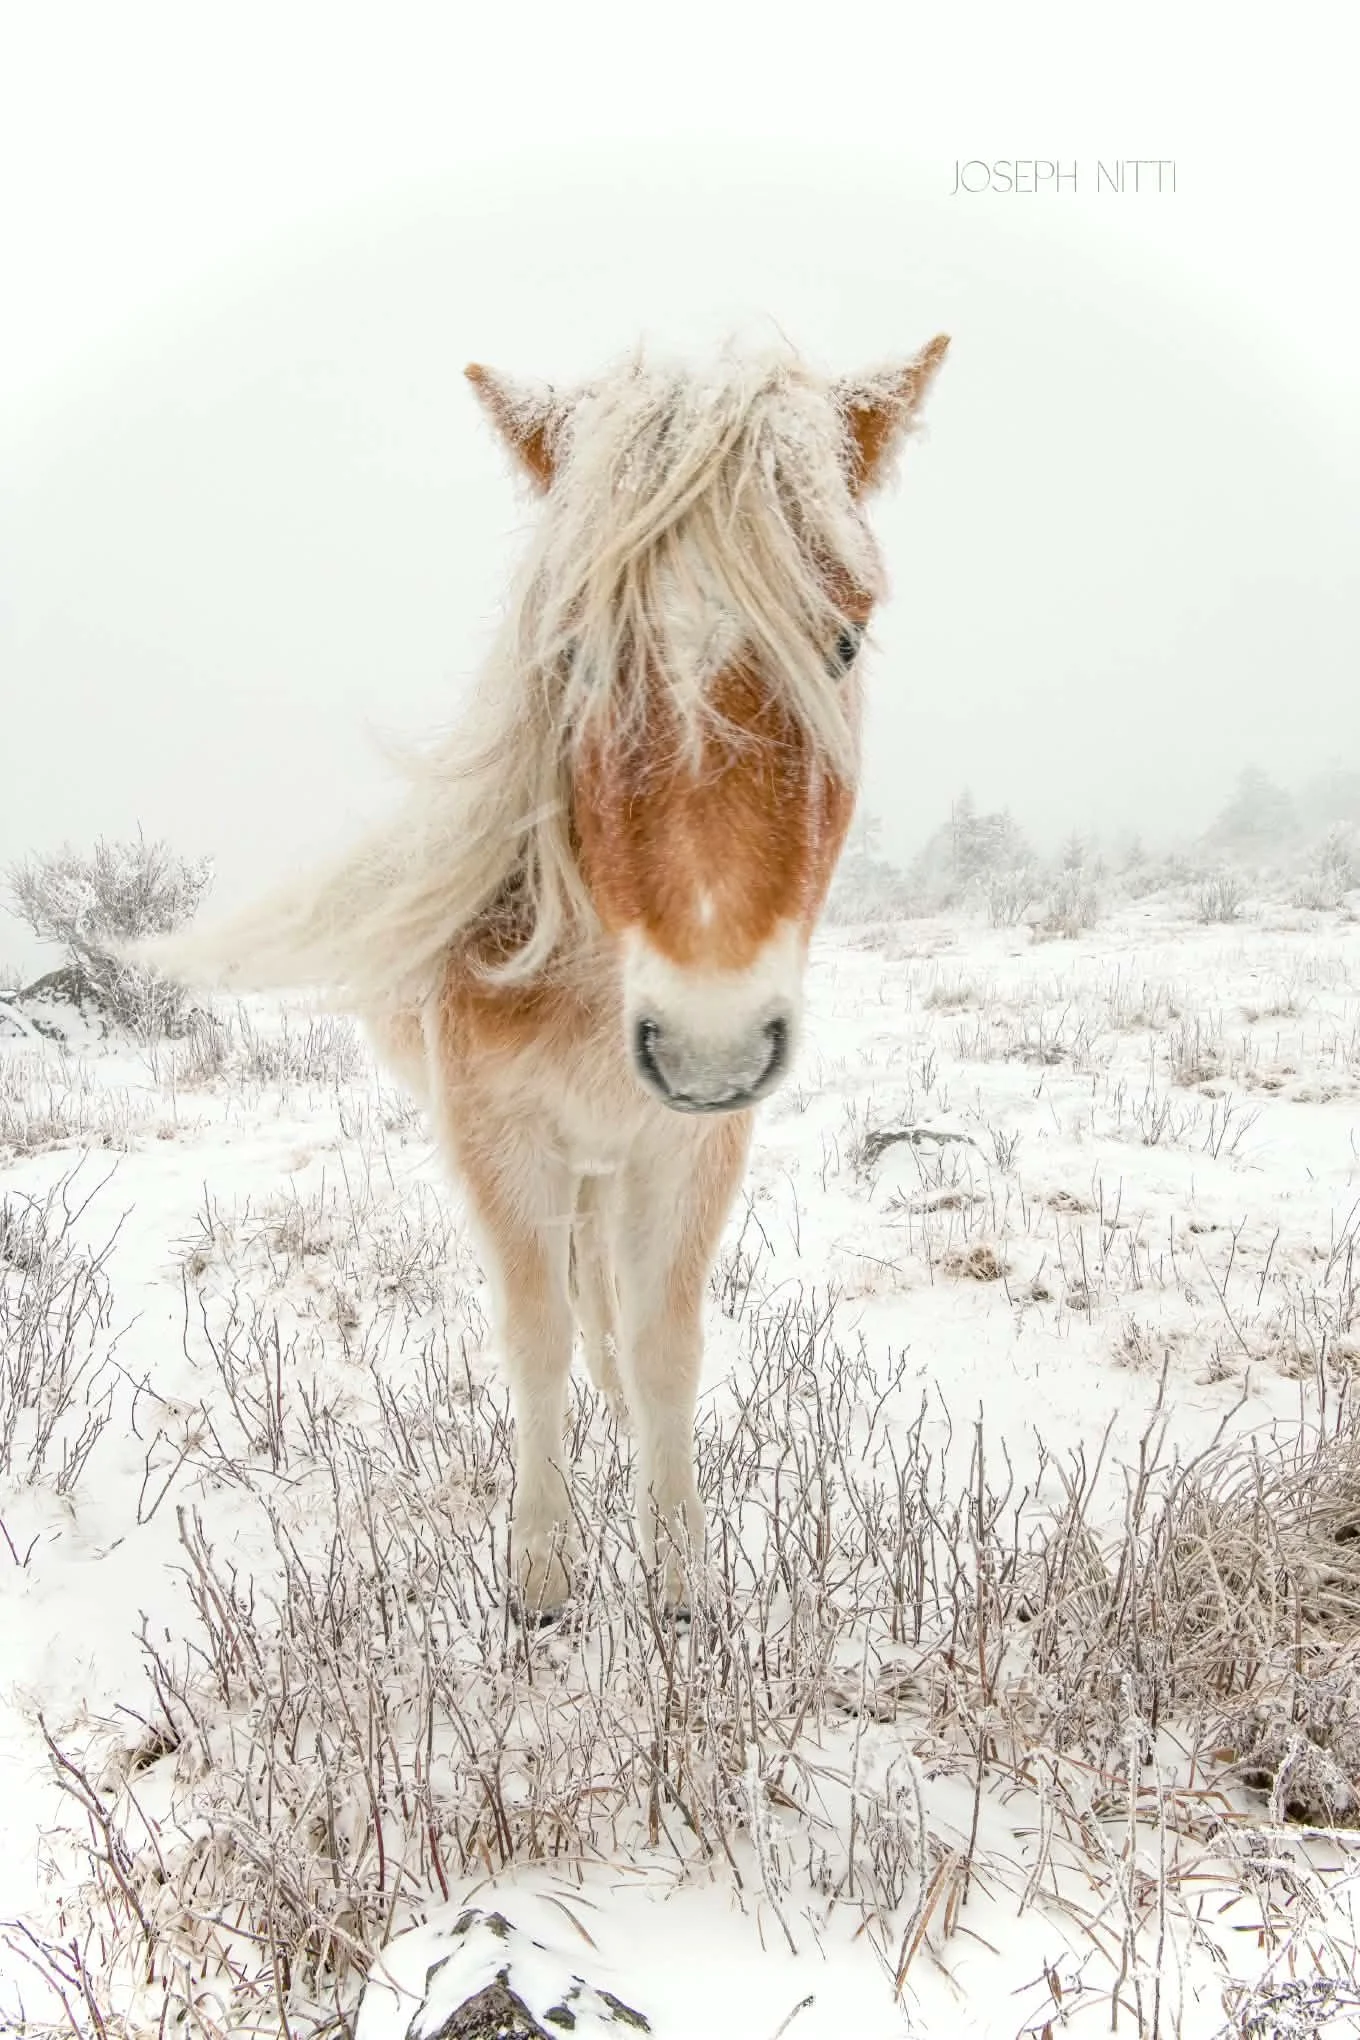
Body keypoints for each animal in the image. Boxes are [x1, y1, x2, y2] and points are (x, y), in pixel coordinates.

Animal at [151, 337, 950, 1615]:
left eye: (842, 640)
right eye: (571, 652)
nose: (709, 1045)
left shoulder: (688, 1147)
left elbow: (664, 1340)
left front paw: (680, 1575)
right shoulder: (499, 1140)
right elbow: (533, 1339)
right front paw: (539, 1571)